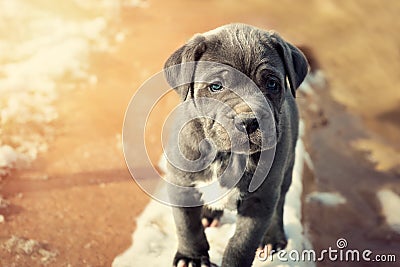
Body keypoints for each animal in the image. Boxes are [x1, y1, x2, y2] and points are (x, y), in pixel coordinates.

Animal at [164, 23, 308, 267]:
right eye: (216, 87)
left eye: (272, 84)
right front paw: (192, 258)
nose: (248, 122)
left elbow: (242, 243)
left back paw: (273, 238)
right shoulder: (181, 185)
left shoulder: (260, 199)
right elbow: (188, 227)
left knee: (279, 204)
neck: (226, 154)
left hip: (286, 170)